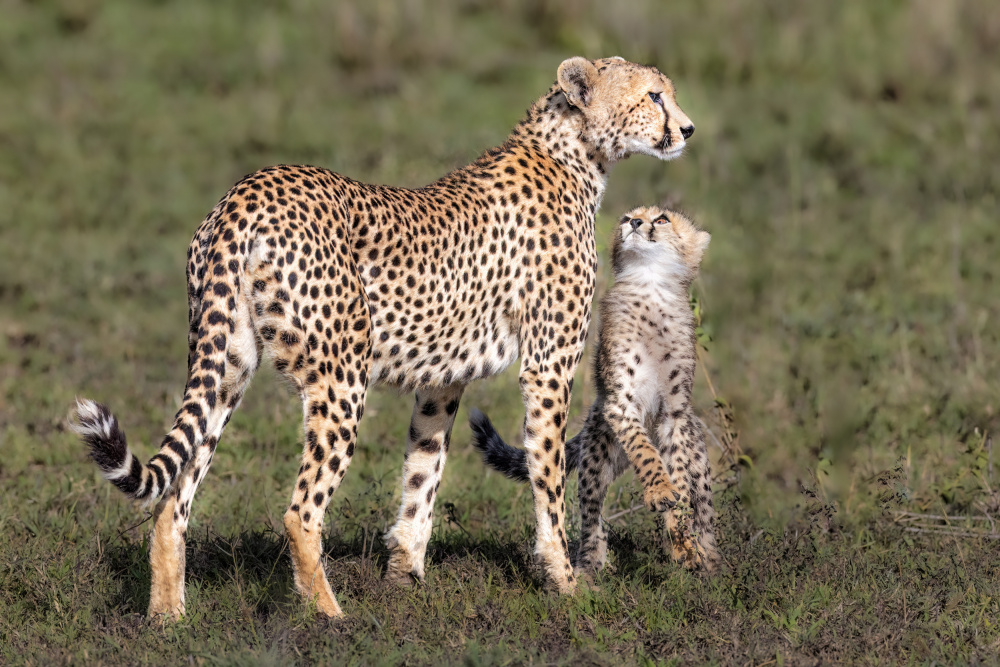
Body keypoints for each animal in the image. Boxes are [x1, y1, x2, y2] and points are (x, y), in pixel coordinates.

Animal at [72, 57, 696, 620]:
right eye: (653, 95)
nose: (688, 128)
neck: (571, 153)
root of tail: (246, 191)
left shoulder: (443, 380)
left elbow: (423, 473)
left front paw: (405, 579)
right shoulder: (549, 365)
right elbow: (548, 475)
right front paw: (565, 582)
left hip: (226, 365)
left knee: (172, 500)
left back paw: (168, 620)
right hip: (341, 378)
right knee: (300, 512)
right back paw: (330, 618)